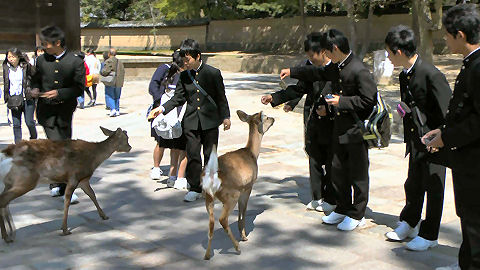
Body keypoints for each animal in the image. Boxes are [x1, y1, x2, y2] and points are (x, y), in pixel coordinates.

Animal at [0, 126, 131, 243]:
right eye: (126, 137)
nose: (130, 147)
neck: (93, 159)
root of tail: (7, 153)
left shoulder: (83, 180)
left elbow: (92, 195)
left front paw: (104, 216)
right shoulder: (73, 177)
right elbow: (67, 201)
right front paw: (65, 229)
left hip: (10, 182)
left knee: (4, 201)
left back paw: (8, 234)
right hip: (26, 179)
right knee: (3, 200)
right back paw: (8, 236)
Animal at [201, 109, 274, 260]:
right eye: (266, 117)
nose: (274, 119)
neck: (252, 153)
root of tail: (212, 176)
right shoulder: (248, 187)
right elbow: (243, 211)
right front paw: (244, 236)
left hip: (208, 197)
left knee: (211, 222)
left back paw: (207, 254)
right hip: (230, 195)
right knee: (222, 219)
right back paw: (237, 247)